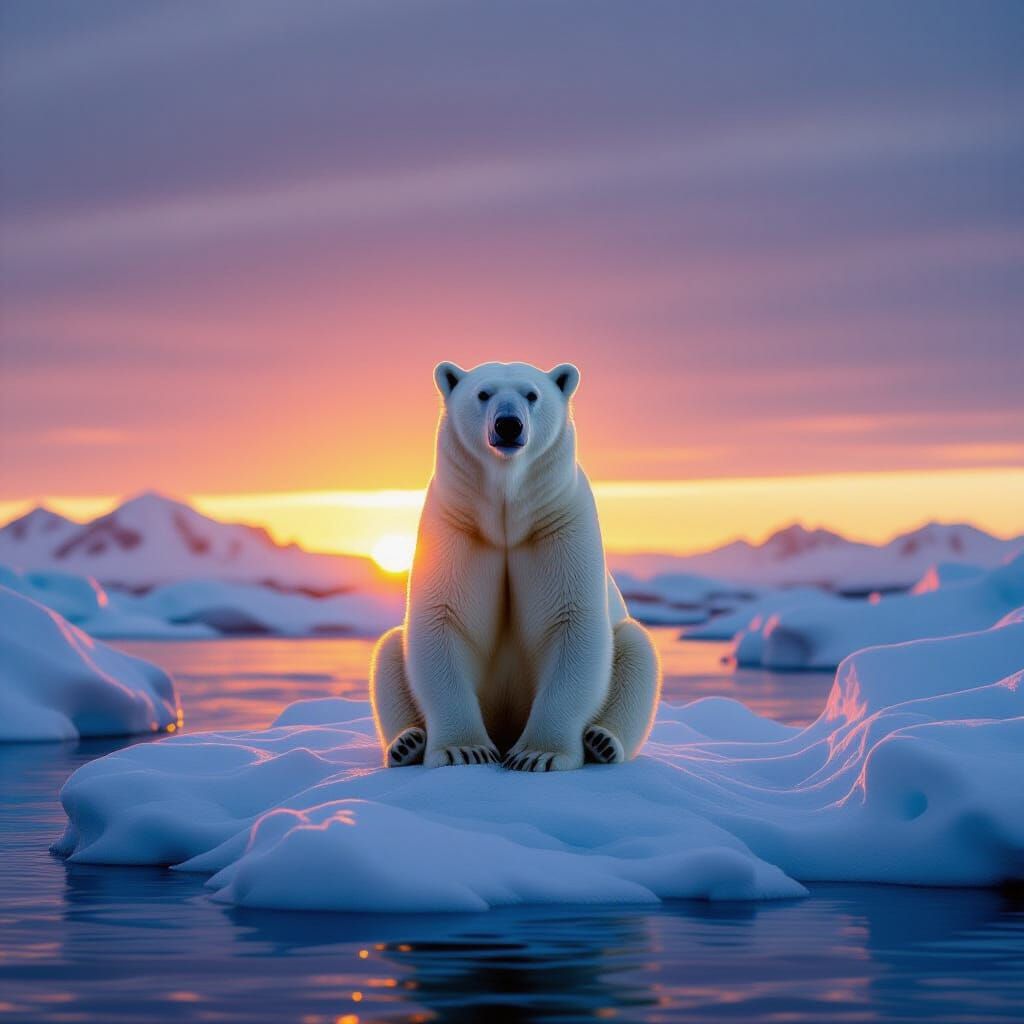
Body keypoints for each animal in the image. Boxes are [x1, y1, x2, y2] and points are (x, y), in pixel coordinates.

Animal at [370, 360, 662, 771]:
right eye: (483, 393)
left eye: (532, 394)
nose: (508, 425)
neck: (507, 513)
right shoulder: (455, 526)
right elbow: (442, 620)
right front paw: (464, 750)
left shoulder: (559, 524)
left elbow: (573, 623)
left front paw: (538, 754)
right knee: (390, 650)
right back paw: (406, 743)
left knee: (637, 650)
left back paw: (602, 742)